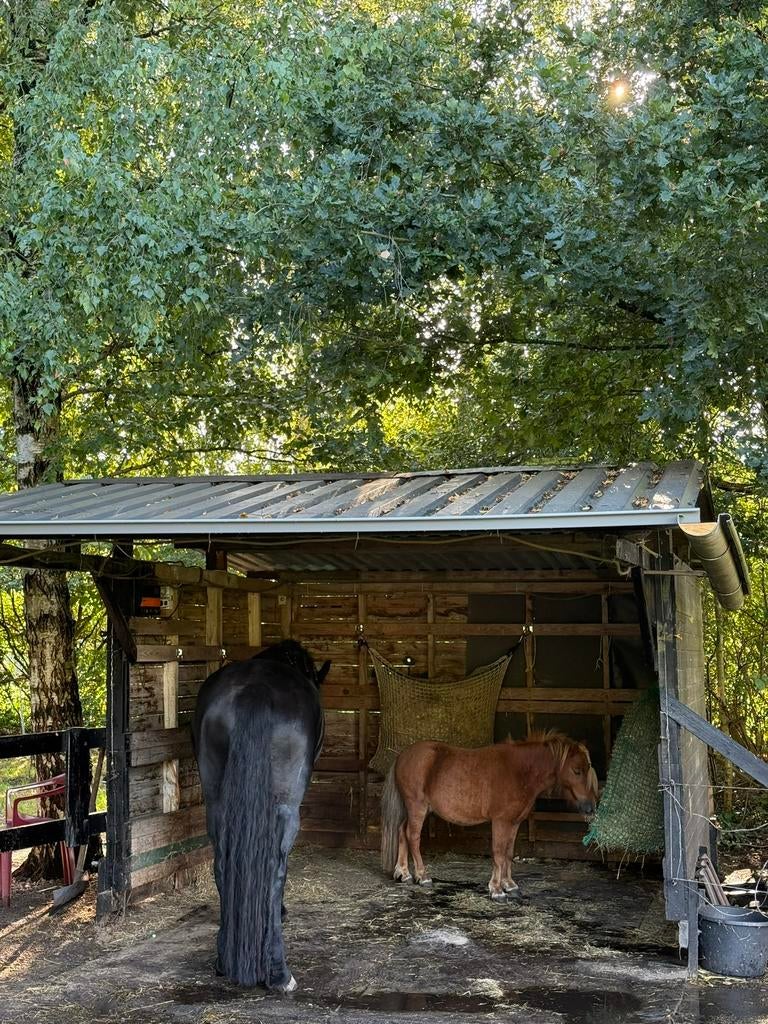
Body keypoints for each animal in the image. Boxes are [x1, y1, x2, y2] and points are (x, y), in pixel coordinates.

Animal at [192, 640, 330, 991]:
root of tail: (254, 689)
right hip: (285, 807)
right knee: (273, 868)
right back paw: (279, 973)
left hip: (216, 801)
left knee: (222, 862)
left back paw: (224, 961)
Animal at [381, 732, 598, 900]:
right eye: (576, 771)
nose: (590, 807)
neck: (519, 772)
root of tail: (402, 756)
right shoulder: (500, 822)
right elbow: (499, 853)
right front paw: (496, 889)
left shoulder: (514, 823)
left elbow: (508, 853)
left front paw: (509, 884)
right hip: (417, 807)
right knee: (413, 837)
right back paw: (422, 876)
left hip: (417, 809)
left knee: (402, 831)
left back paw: (403, 873)